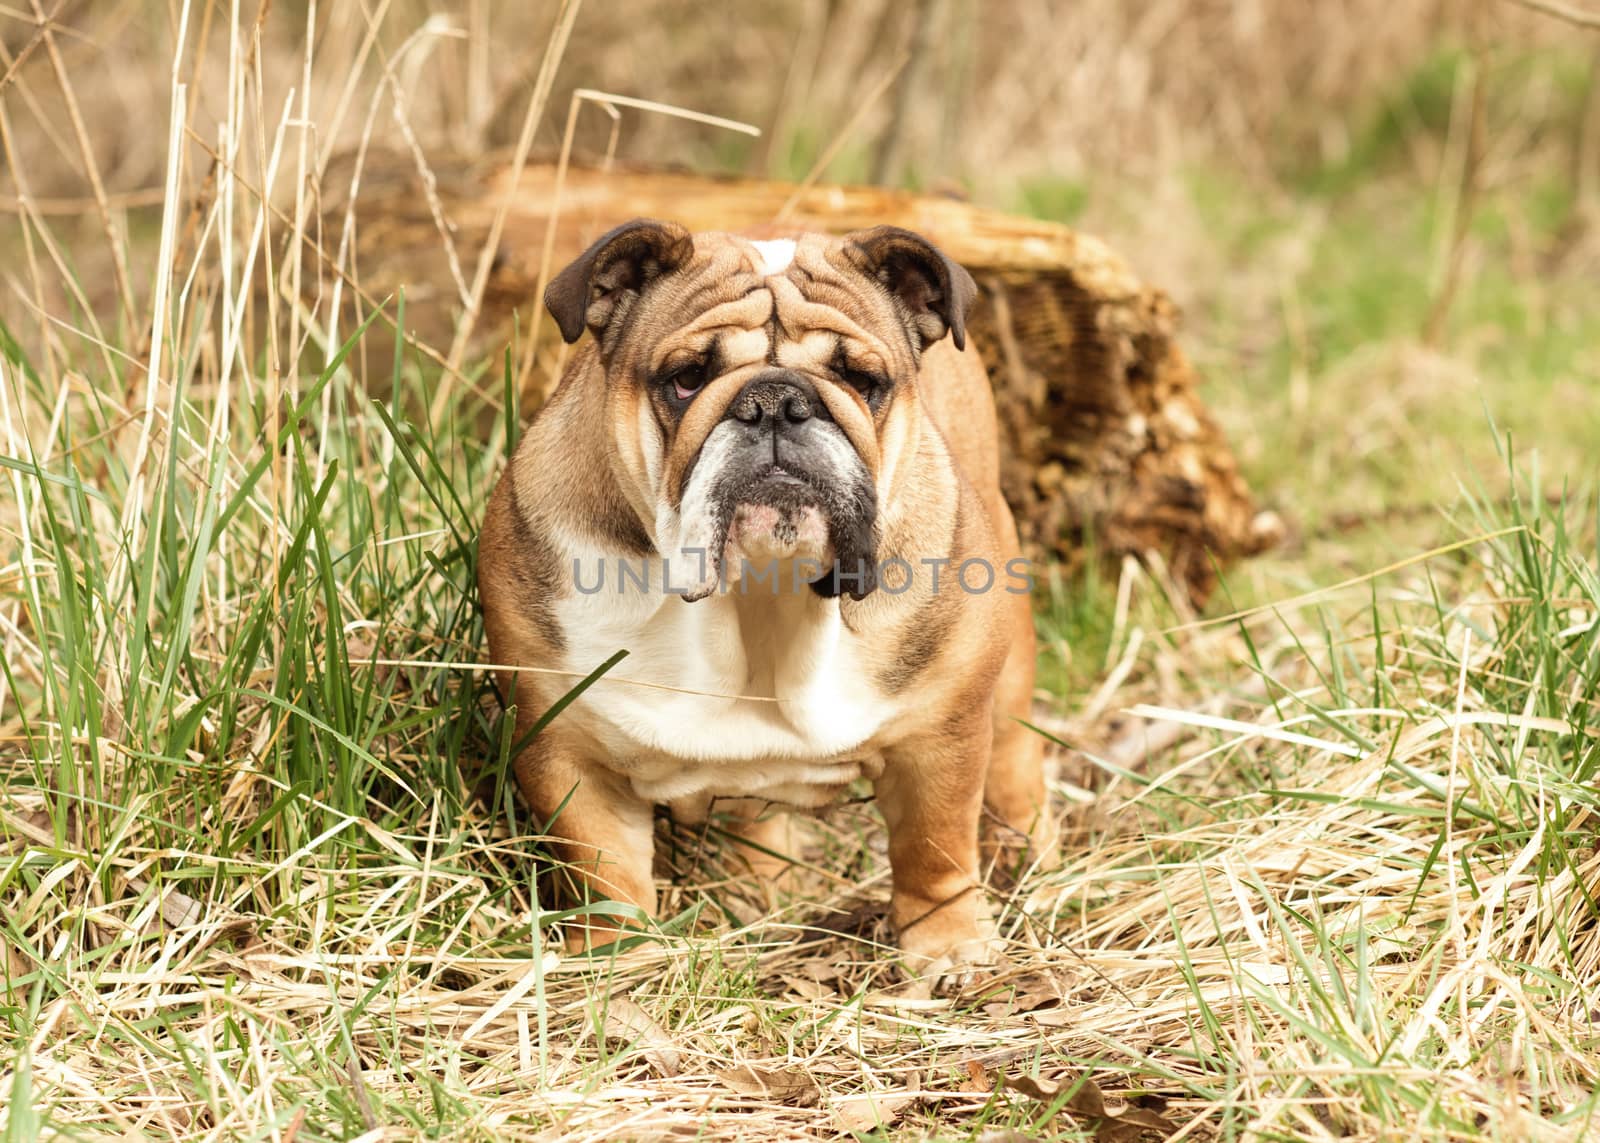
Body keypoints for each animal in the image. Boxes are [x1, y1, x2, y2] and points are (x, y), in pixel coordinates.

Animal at [483, 217, 1062, 973]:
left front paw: (948, 946)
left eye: (862, 380)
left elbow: (933, 846)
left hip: (1010, 665)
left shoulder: (942, 734)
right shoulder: (566, 742)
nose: (778, 403)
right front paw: (617, 958)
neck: (759, 597)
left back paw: (1031, 855)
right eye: (686, 379)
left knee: (1016, 761)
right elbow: (602, 868)